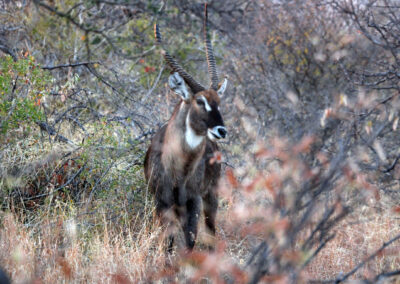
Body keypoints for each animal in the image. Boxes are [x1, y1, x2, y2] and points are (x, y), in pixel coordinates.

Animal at [145, 3, 228, 250]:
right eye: (199, 101)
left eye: (219, 102)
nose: (221, 131)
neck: (178, 168)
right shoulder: (162, 201)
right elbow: (168, 242)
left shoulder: (193, 200)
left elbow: (190, 240)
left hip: (210, 197)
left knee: (210, 232)